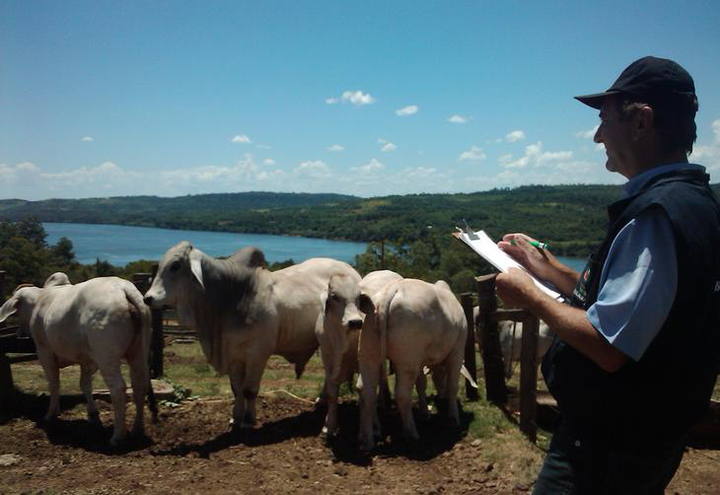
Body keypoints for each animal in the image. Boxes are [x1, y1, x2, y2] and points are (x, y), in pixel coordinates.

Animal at [0, 276, 156, 446]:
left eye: (17, 311)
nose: (19, 333)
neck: (39, 300)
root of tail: (123, 288)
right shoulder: (87, 360)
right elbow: (85, 384)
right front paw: (92, 414)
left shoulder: (44, 351)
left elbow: (54, 384)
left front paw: (51, 414)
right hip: (139, 351)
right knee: (139, 385)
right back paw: (137, 430)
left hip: (107, 356)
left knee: (118, 388)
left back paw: (117, 436)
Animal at [144, 242, 362, 428]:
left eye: (175, 266)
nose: (148, 298)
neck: (233, 296)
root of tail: (351, 270)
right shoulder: (233, 353)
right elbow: (236, 389)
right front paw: (236, 417)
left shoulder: (258, 353)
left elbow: (249, 390)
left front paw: (249, 420)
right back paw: (321, 400)